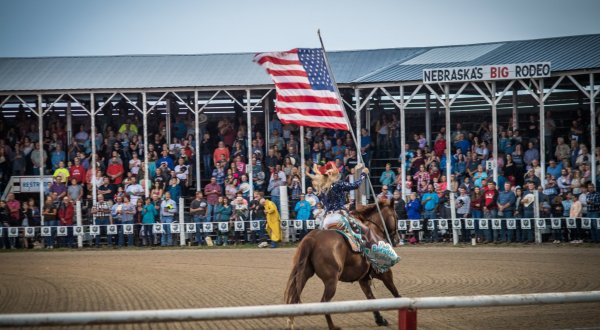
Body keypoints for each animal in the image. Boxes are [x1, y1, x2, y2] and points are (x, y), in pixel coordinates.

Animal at [284, 201, 400, 330]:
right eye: (396, 216)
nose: (397, 239)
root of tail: (312, 239)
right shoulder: (385, 274)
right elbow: (395, 293)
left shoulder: (363, 280)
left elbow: (371, 298)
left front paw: (380, 319)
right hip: (331, 281)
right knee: (324, 302)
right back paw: (333, 327)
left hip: (304, 275)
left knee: (294, 298)